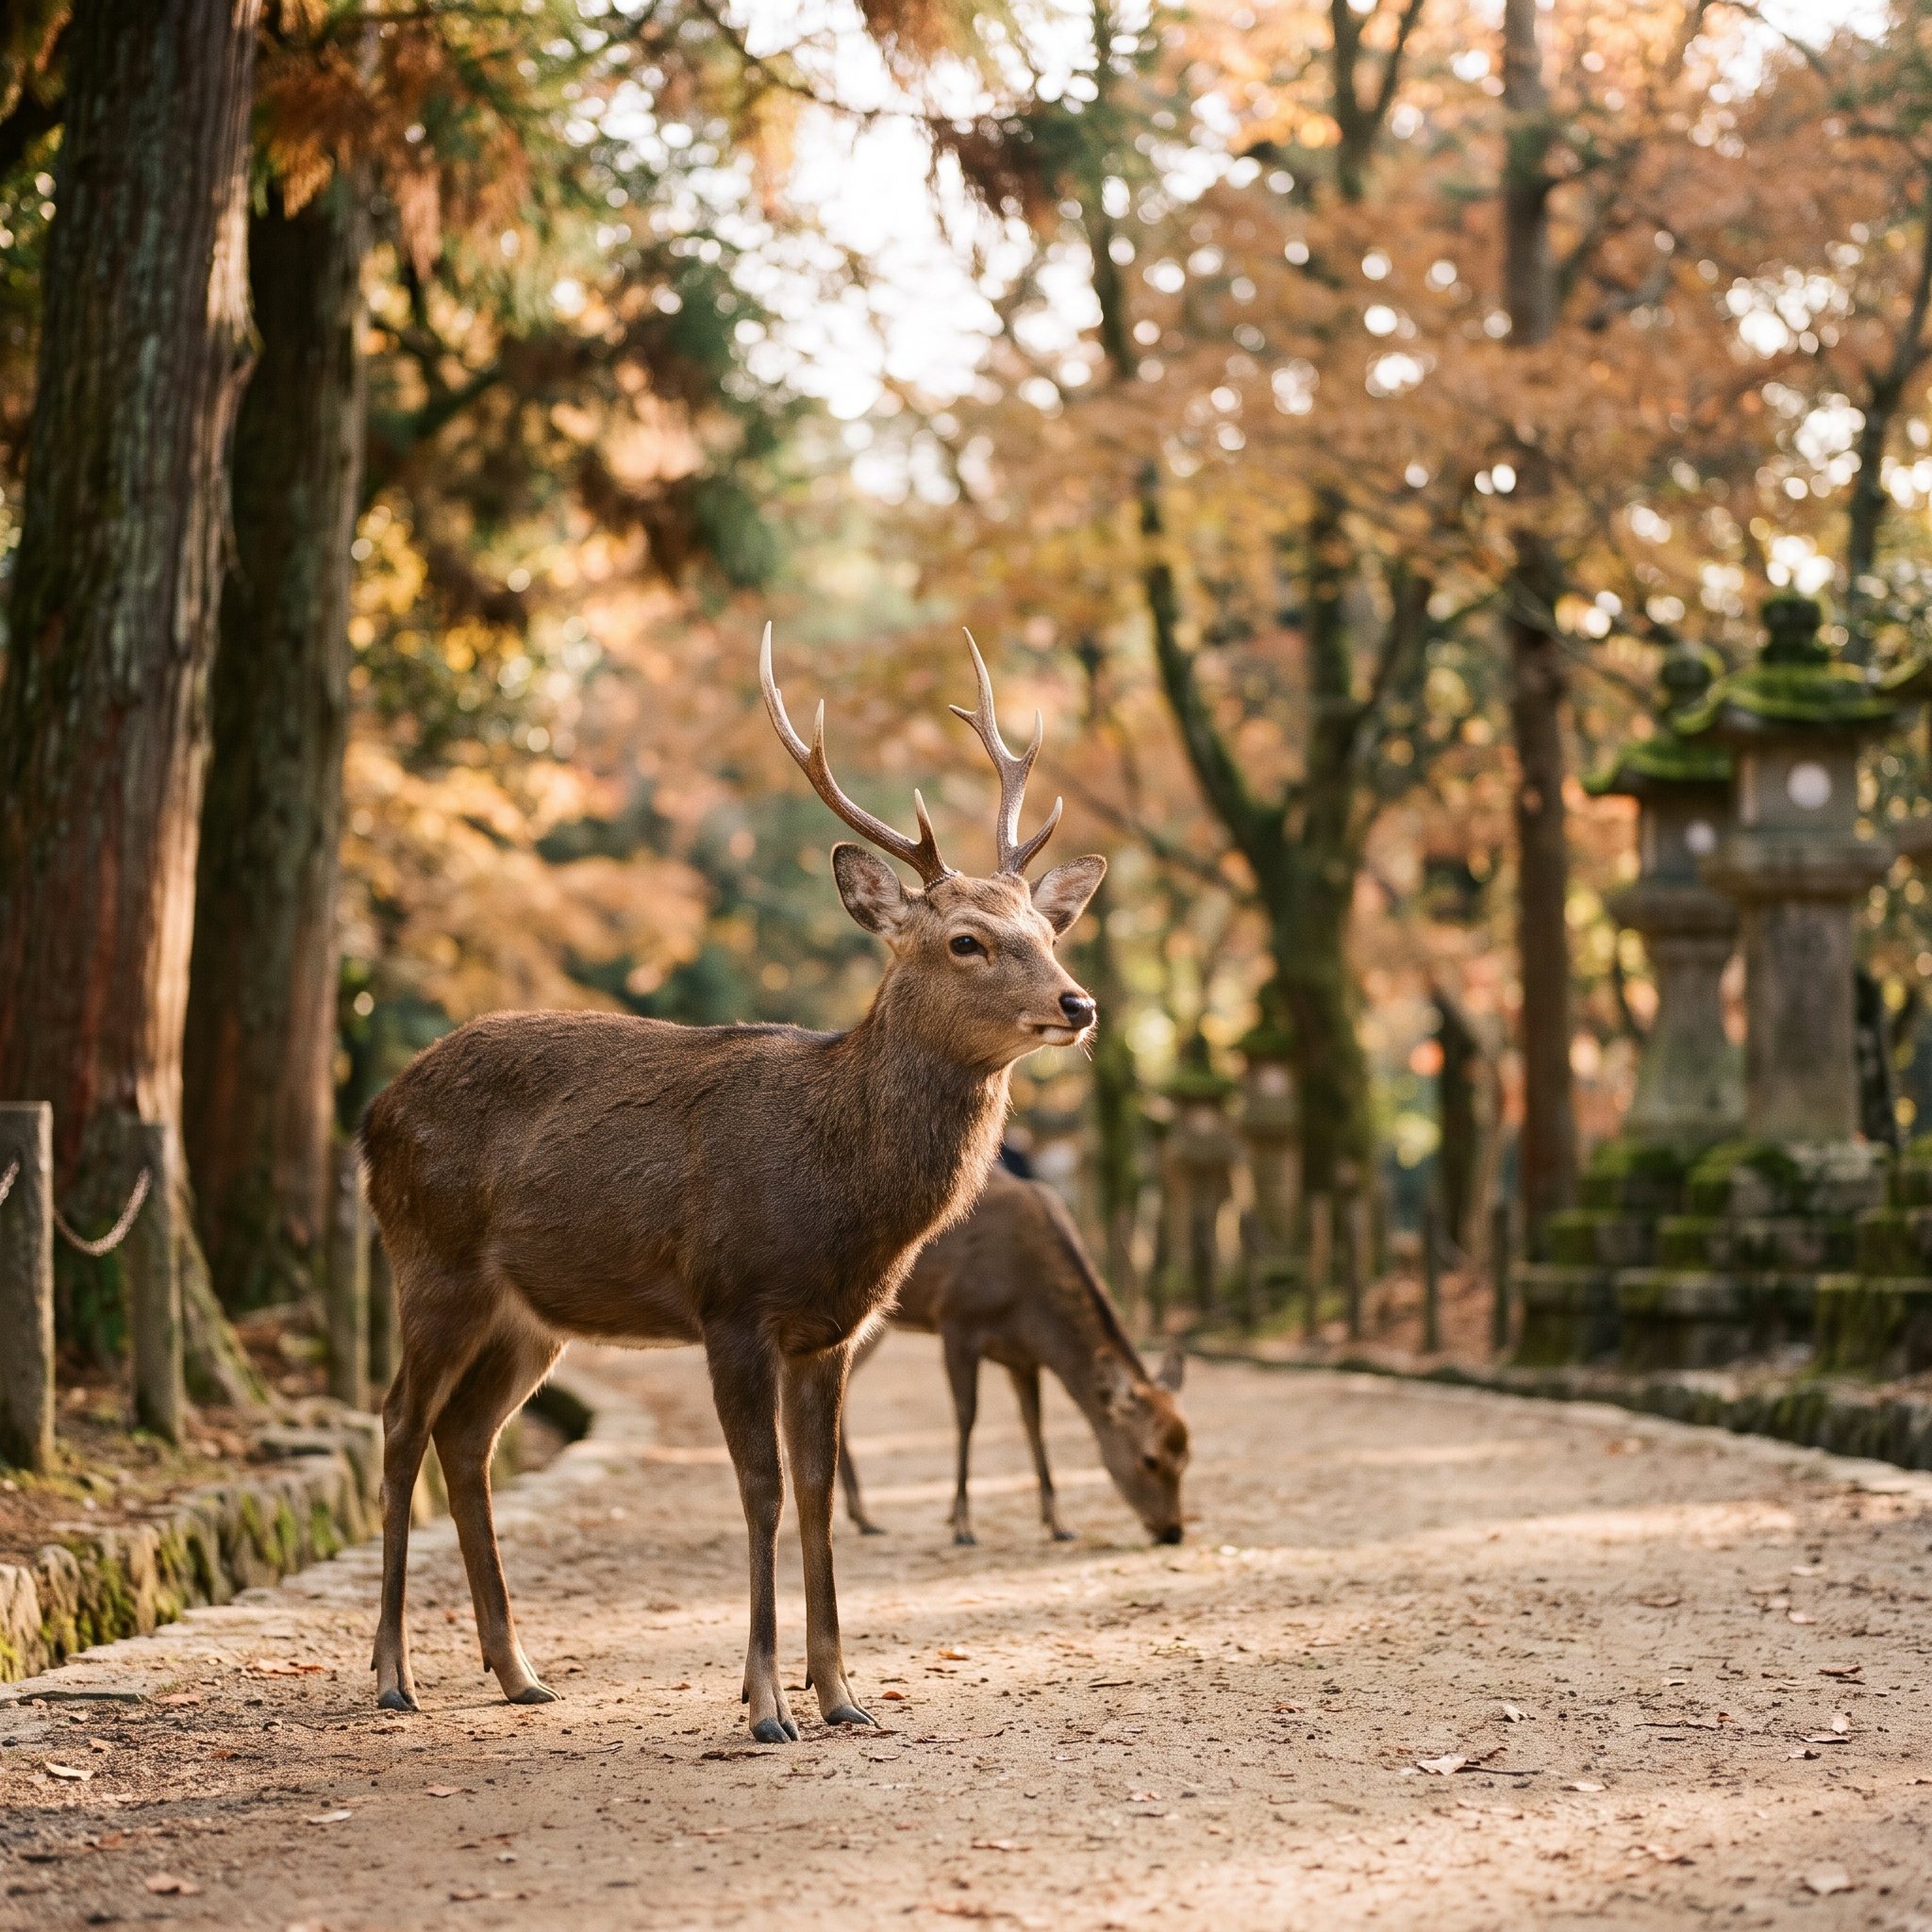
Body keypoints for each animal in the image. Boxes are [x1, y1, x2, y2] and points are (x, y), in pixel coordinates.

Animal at [360, 629, 1105, 1743]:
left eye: (1048, 931)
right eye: (964, 939)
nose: (1080, 1002)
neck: (840, 1189)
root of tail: (372, 1116)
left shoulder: (831, 1327)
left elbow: (817, 1493)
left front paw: (841, 1696)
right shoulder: (732, 1301)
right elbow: (760, 1489)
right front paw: (762, 1704)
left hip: (529, 1312)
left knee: (466, 1435)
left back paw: (519, 1669)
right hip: (431, 1261)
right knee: (401, 1420)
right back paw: (393, 1673)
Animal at [836, 1163, 1189, 1546]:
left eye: (1187, 1457)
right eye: (1150, 1459)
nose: (1173, 1531)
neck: (1026, 1305)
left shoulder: (1023, 1356)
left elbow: (1033, 1423)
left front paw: (1059, 1523)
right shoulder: (956, 1321)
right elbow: (966, 1417)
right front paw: (963, 1525)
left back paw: (862, 1517)